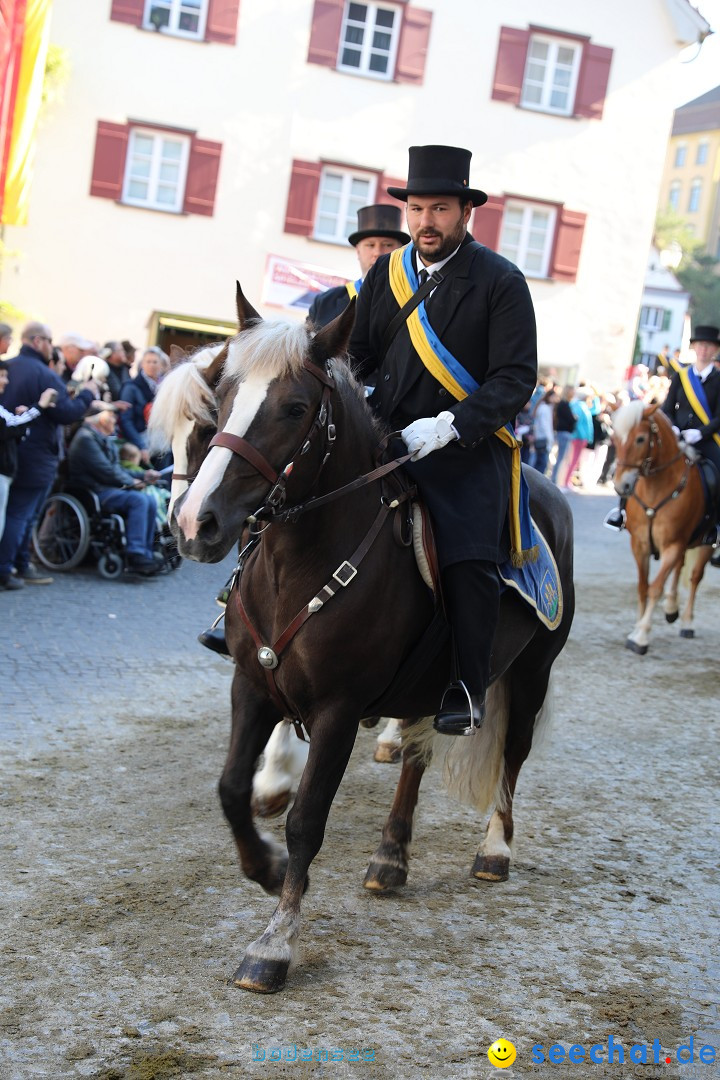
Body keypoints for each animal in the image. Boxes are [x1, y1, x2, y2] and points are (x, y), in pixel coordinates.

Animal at [169, 289, 574, 993]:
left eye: (295, 408)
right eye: (221, 397)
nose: (197, 522)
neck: (298, 561)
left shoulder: (337, 708)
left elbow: (307, 820)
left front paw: (275, 942)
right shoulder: (253, 685)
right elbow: (231, 790)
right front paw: (267, 868)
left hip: (529, 677)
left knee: (512, 756)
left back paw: (494, 848)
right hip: (429, 684)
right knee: (414, 756)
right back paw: (390, 857)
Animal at [613, 403, 716, 652]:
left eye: (640, 439)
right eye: (614, 438)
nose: (621, 486)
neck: (656, 487)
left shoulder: (673, 545)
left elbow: (655, 588)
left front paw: (641, 635)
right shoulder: (639, 544)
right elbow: (642, 586)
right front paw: (636, 627)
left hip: (705, 544)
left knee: (695, 576)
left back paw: (687, 621)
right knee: (680, 568)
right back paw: (671, 608)